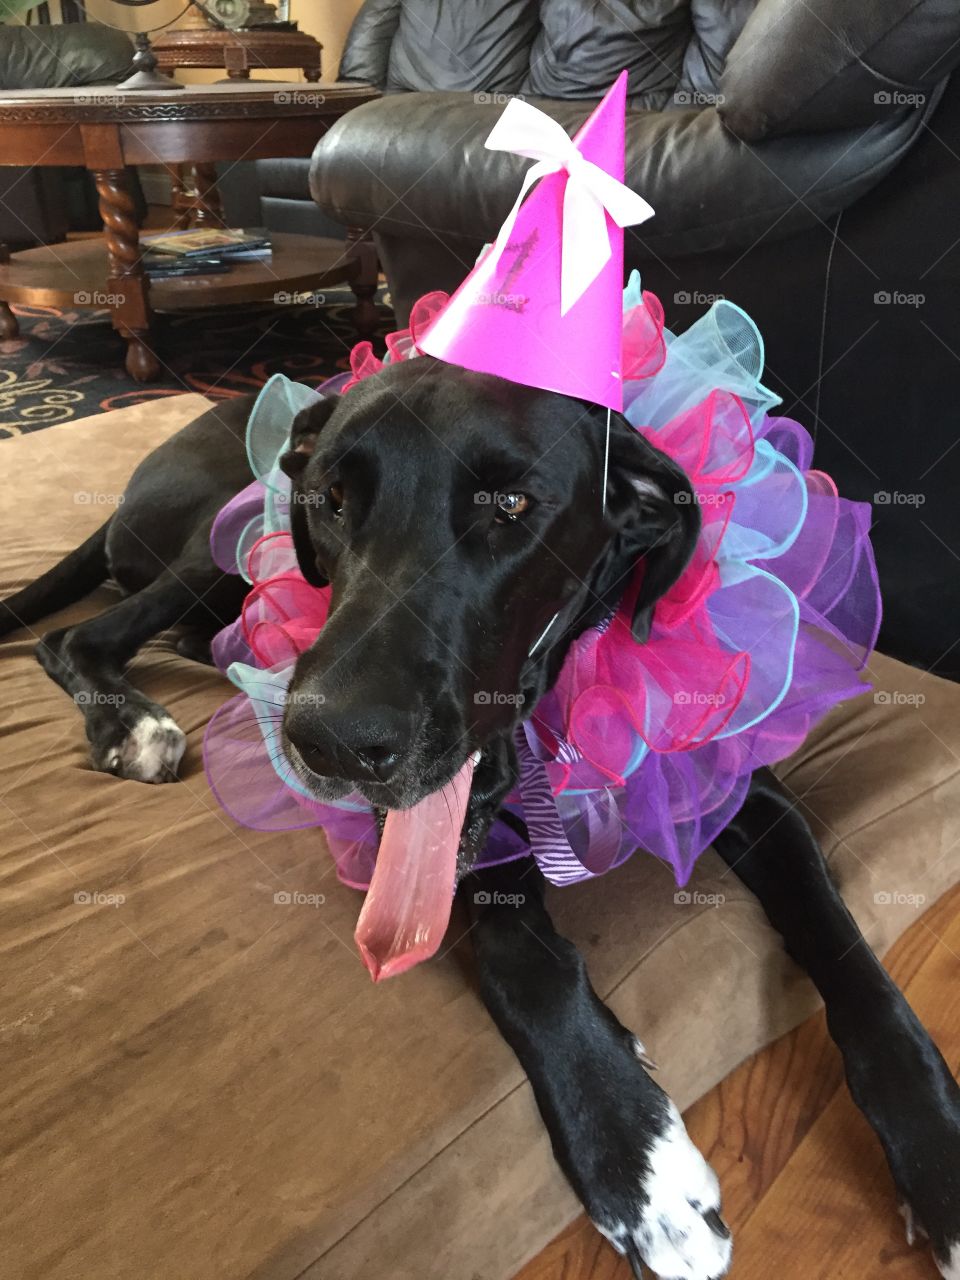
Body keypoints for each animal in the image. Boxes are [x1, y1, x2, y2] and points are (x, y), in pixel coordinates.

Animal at [1, 363, 960, 1280]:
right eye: (332, 500)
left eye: (510, 506)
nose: (331, 742)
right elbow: (524, 967)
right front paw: (637, 1160)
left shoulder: (745, 794)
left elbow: (846, 948)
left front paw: (936, 1144)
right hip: (224, 533)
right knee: (75, 637)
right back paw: (136, 724)